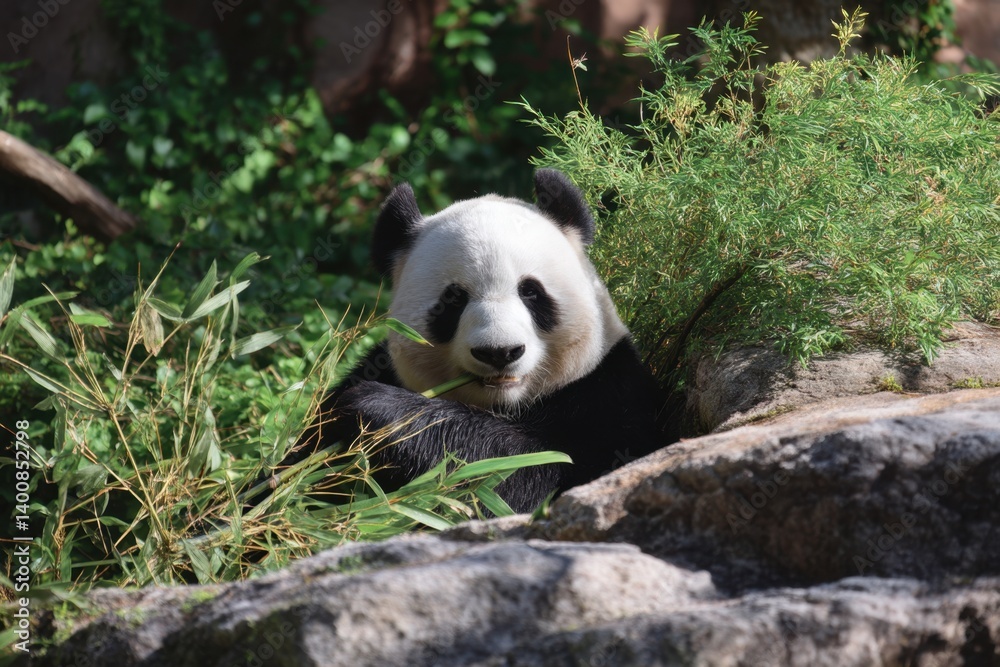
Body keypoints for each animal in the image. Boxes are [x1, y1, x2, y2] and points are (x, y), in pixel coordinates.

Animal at [296, 169, 665, 513]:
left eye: (531, 292)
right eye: (453, 300)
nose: (500, 352)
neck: (505, 406)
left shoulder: (608, 395)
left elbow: (524, 474)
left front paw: (378, 409)